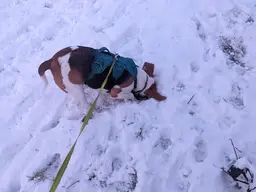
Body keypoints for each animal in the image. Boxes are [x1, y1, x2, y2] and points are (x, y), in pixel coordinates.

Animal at [37, 46, 166, 107]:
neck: (137, 78)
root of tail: (52, 60)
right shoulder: (116, 91)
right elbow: (128, 94)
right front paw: (131, 98)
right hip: (76, 89)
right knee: (84, 104)